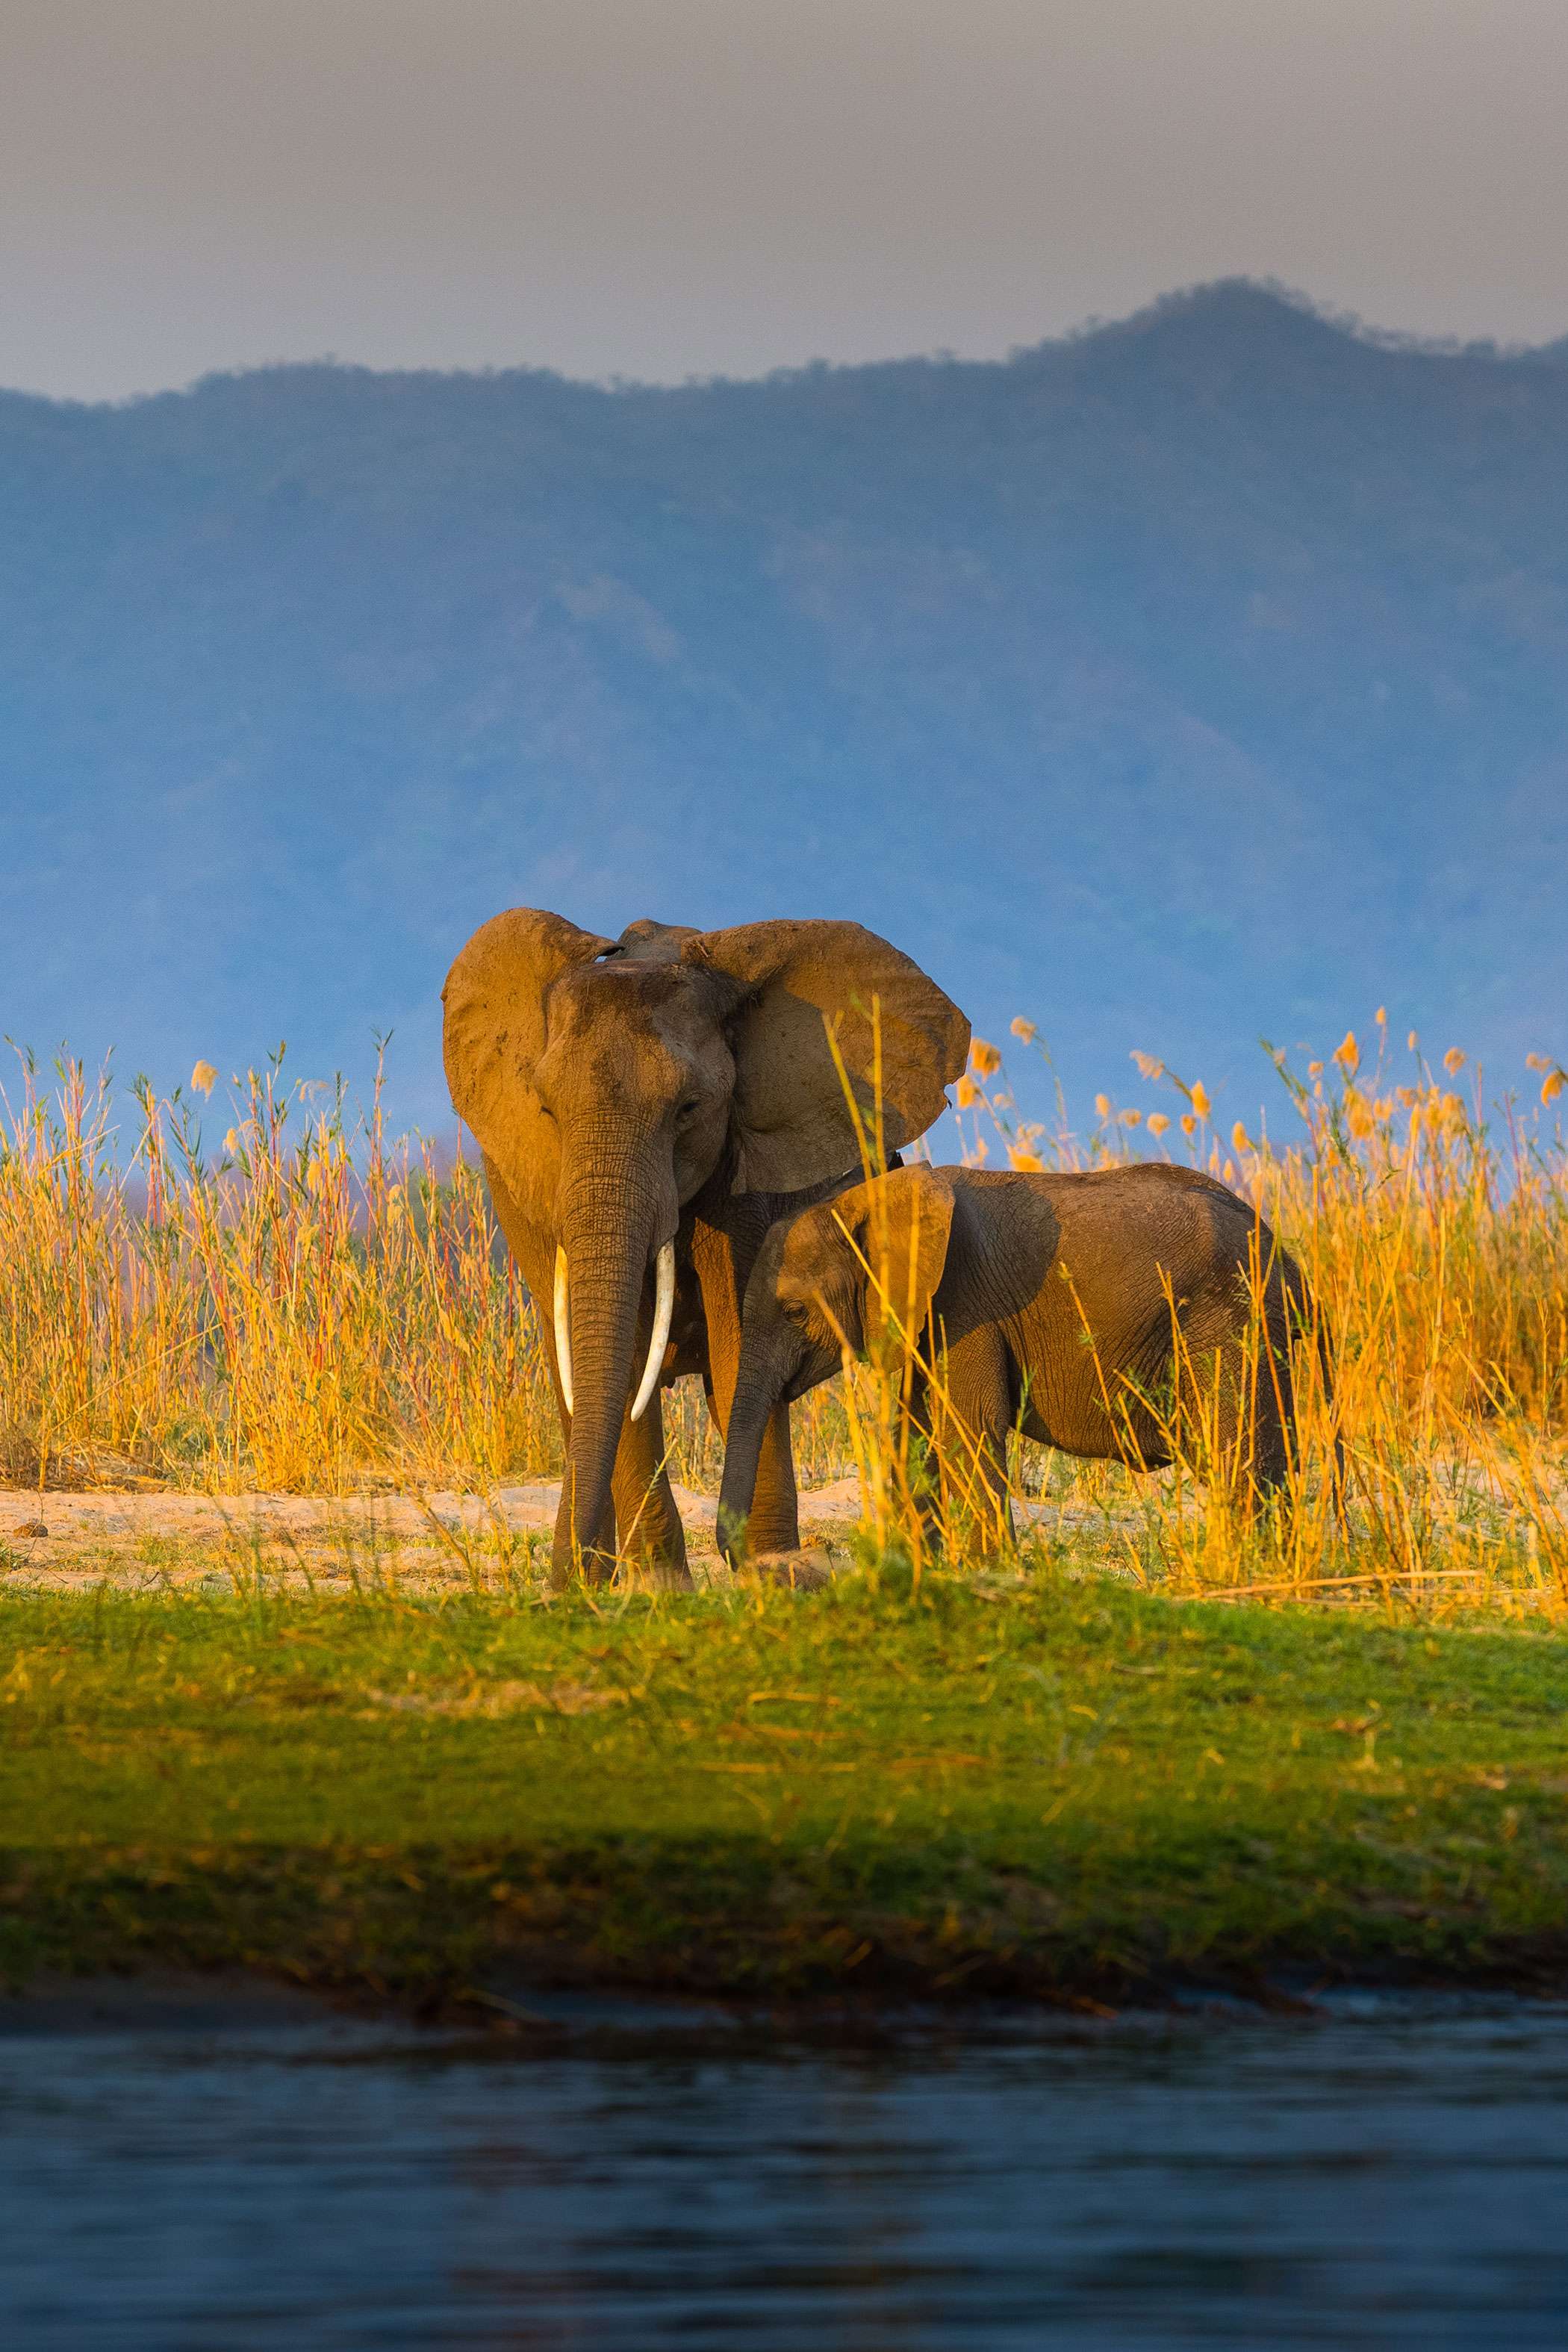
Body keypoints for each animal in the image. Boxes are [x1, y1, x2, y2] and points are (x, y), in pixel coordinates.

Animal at [441, 909, 969, 1585]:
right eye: (546, 1110)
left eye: (689, 1108)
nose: (567, 1581)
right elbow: (618, 1352)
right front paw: (656, 1586)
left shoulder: (752, 1172)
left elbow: (737, 1340)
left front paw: (769, 1570)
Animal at [716, 1160, 1321, 1558]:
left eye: (795, 1311)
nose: (740, 1559)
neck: (867, 1198)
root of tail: (1286, 1256)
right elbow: (914, 1433)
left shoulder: (965, 1305)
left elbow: (968, 1427)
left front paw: (988, 1569)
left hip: (1230, 1320)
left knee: (1236, 1443)